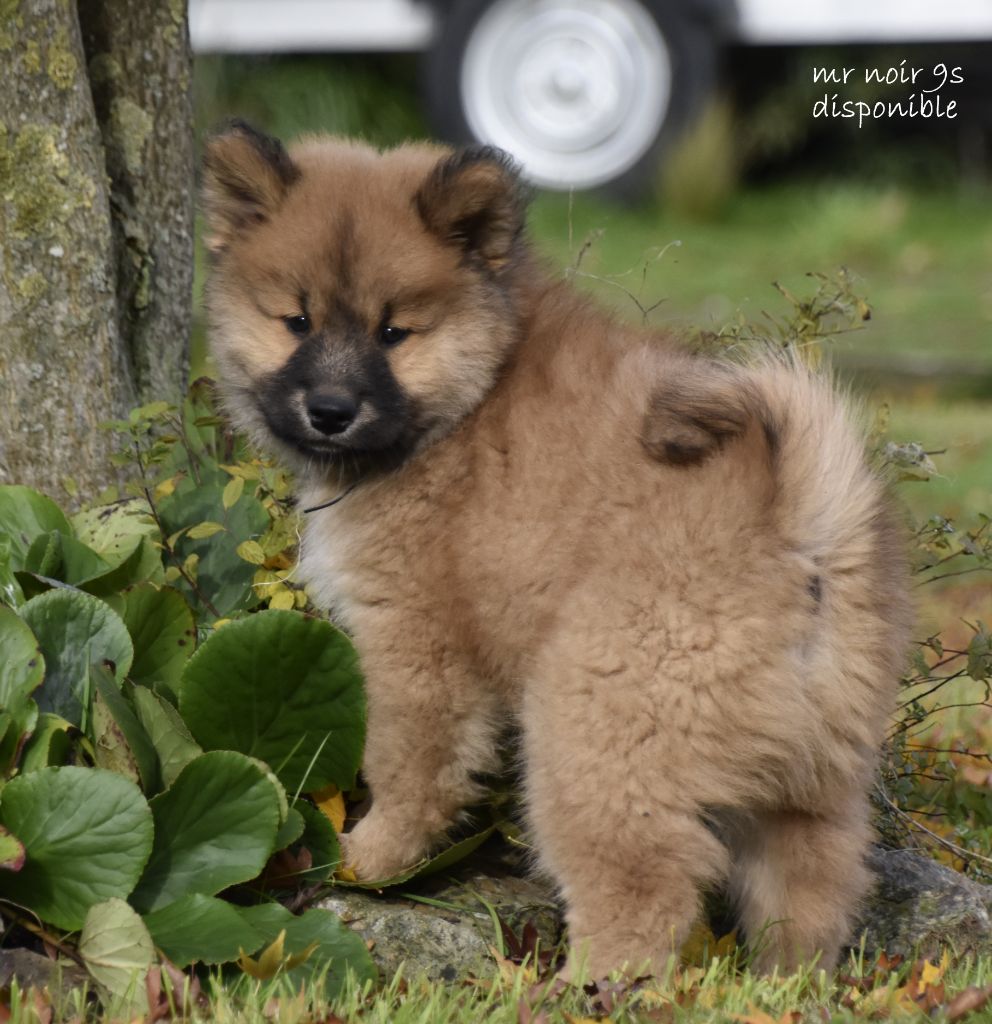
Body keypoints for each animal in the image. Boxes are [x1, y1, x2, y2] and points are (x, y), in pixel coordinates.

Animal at [203, 121, 913, 974]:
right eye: (296, 322)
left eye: (393, 332)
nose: (332, 411)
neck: (471, 399)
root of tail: (798, 525)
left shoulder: (415, 641)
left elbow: (408, 769)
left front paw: (368, 860)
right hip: (816, 779)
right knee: (811, 886)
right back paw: (787, 979)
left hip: (594, 731)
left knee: (644, 887)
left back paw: (584, 985)